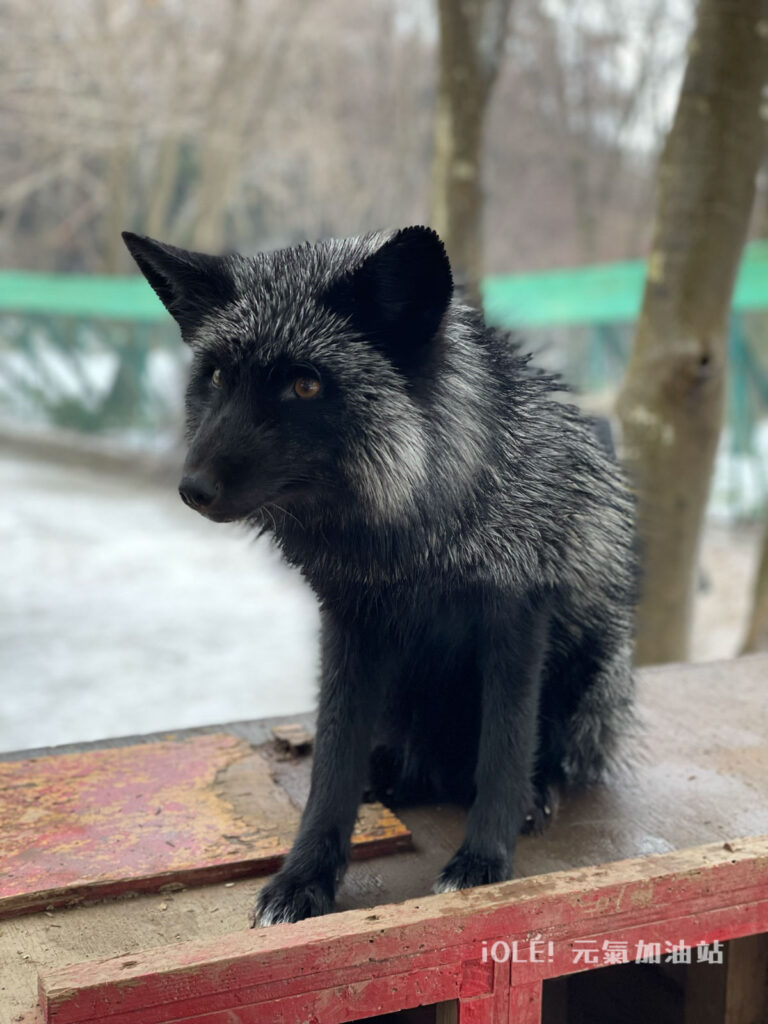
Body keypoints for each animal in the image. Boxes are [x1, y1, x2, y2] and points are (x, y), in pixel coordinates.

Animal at [122, 226, 637, 927]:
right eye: (220, 375)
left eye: (305, 386)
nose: (191, 490)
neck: (411, 539)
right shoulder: (351, 621)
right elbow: (333, 768)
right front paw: (305, 878)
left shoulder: (516, 609)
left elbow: (506, 748)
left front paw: (484, 860)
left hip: (594, 664)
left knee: (542, 754)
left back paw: (536, 791)